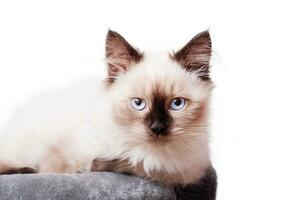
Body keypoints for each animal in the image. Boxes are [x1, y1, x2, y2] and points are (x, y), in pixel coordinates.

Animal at [0, 30, 216, 187]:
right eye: (138, 103)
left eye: (176, 104)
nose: (158, 128)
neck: (141, 153)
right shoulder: (63, 154)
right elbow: (53, 171)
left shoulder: (178, 172)